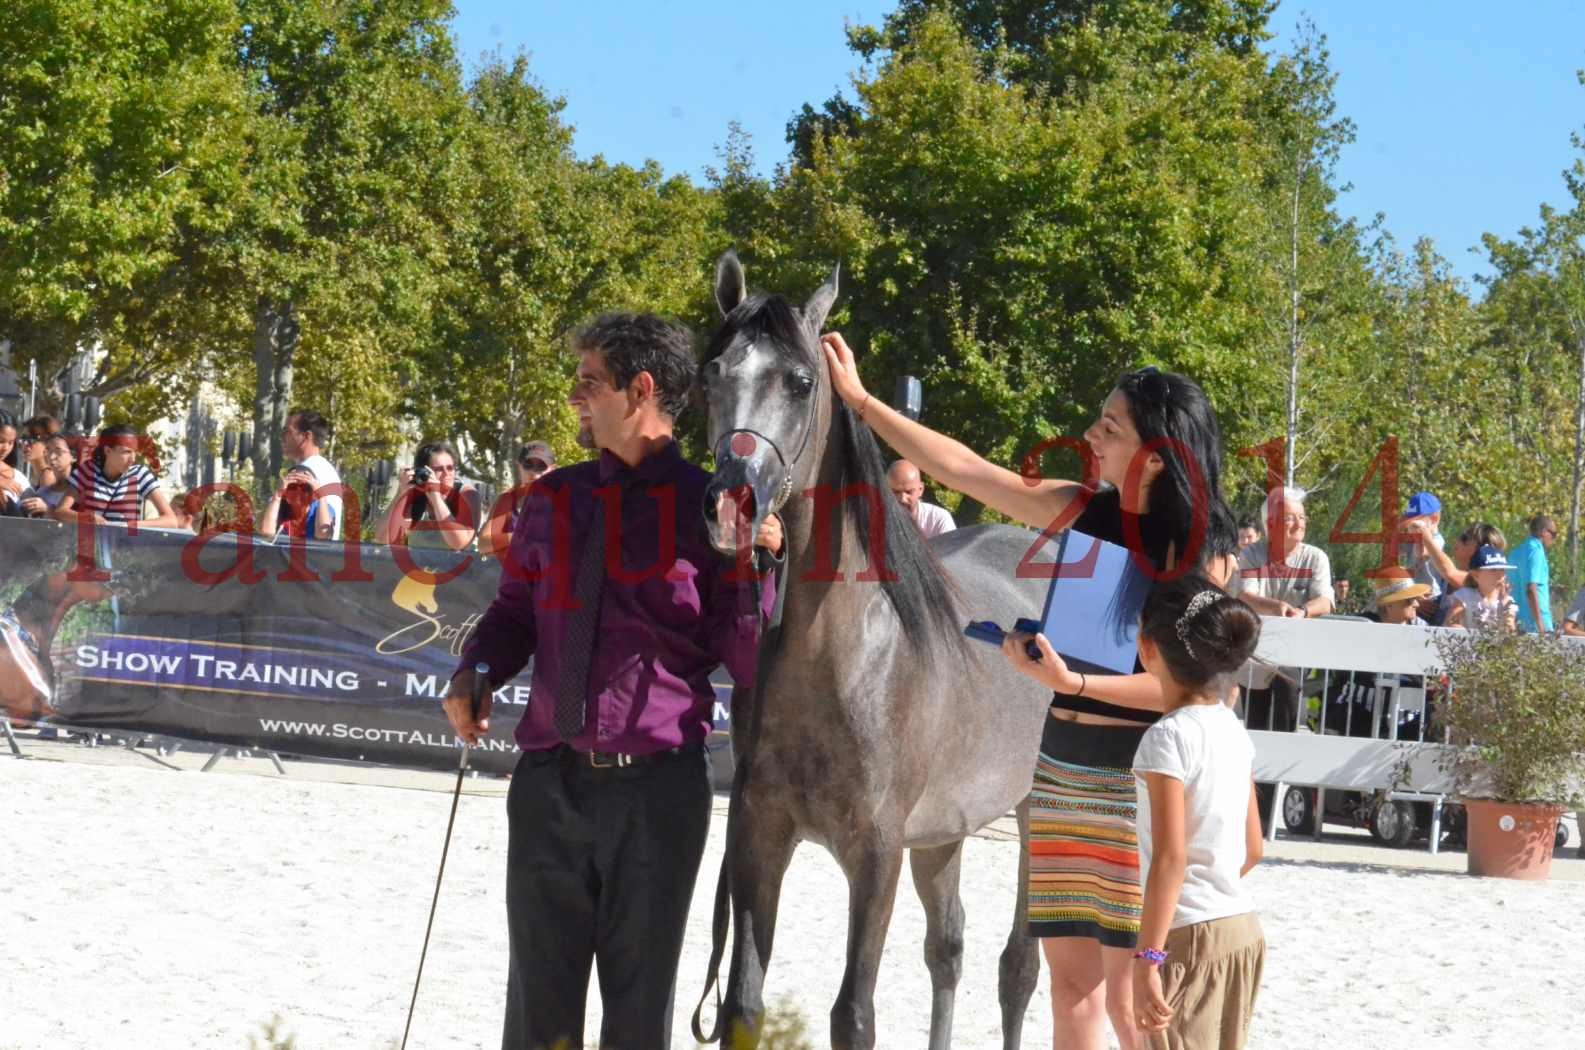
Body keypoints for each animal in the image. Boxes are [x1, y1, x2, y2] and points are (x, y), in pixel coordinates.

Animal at [694, 250, 1065, 1046]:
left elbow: (854, 1014)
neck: (841, 656)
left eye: (801, 381)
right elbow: (742, 1003)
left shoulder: (877, 855)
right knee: (948, 949)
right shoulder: (757, 839)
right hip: (944, 832)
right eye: (711, 373)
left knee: (1017, 968)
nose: (732, 505)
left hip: (1034, 813)